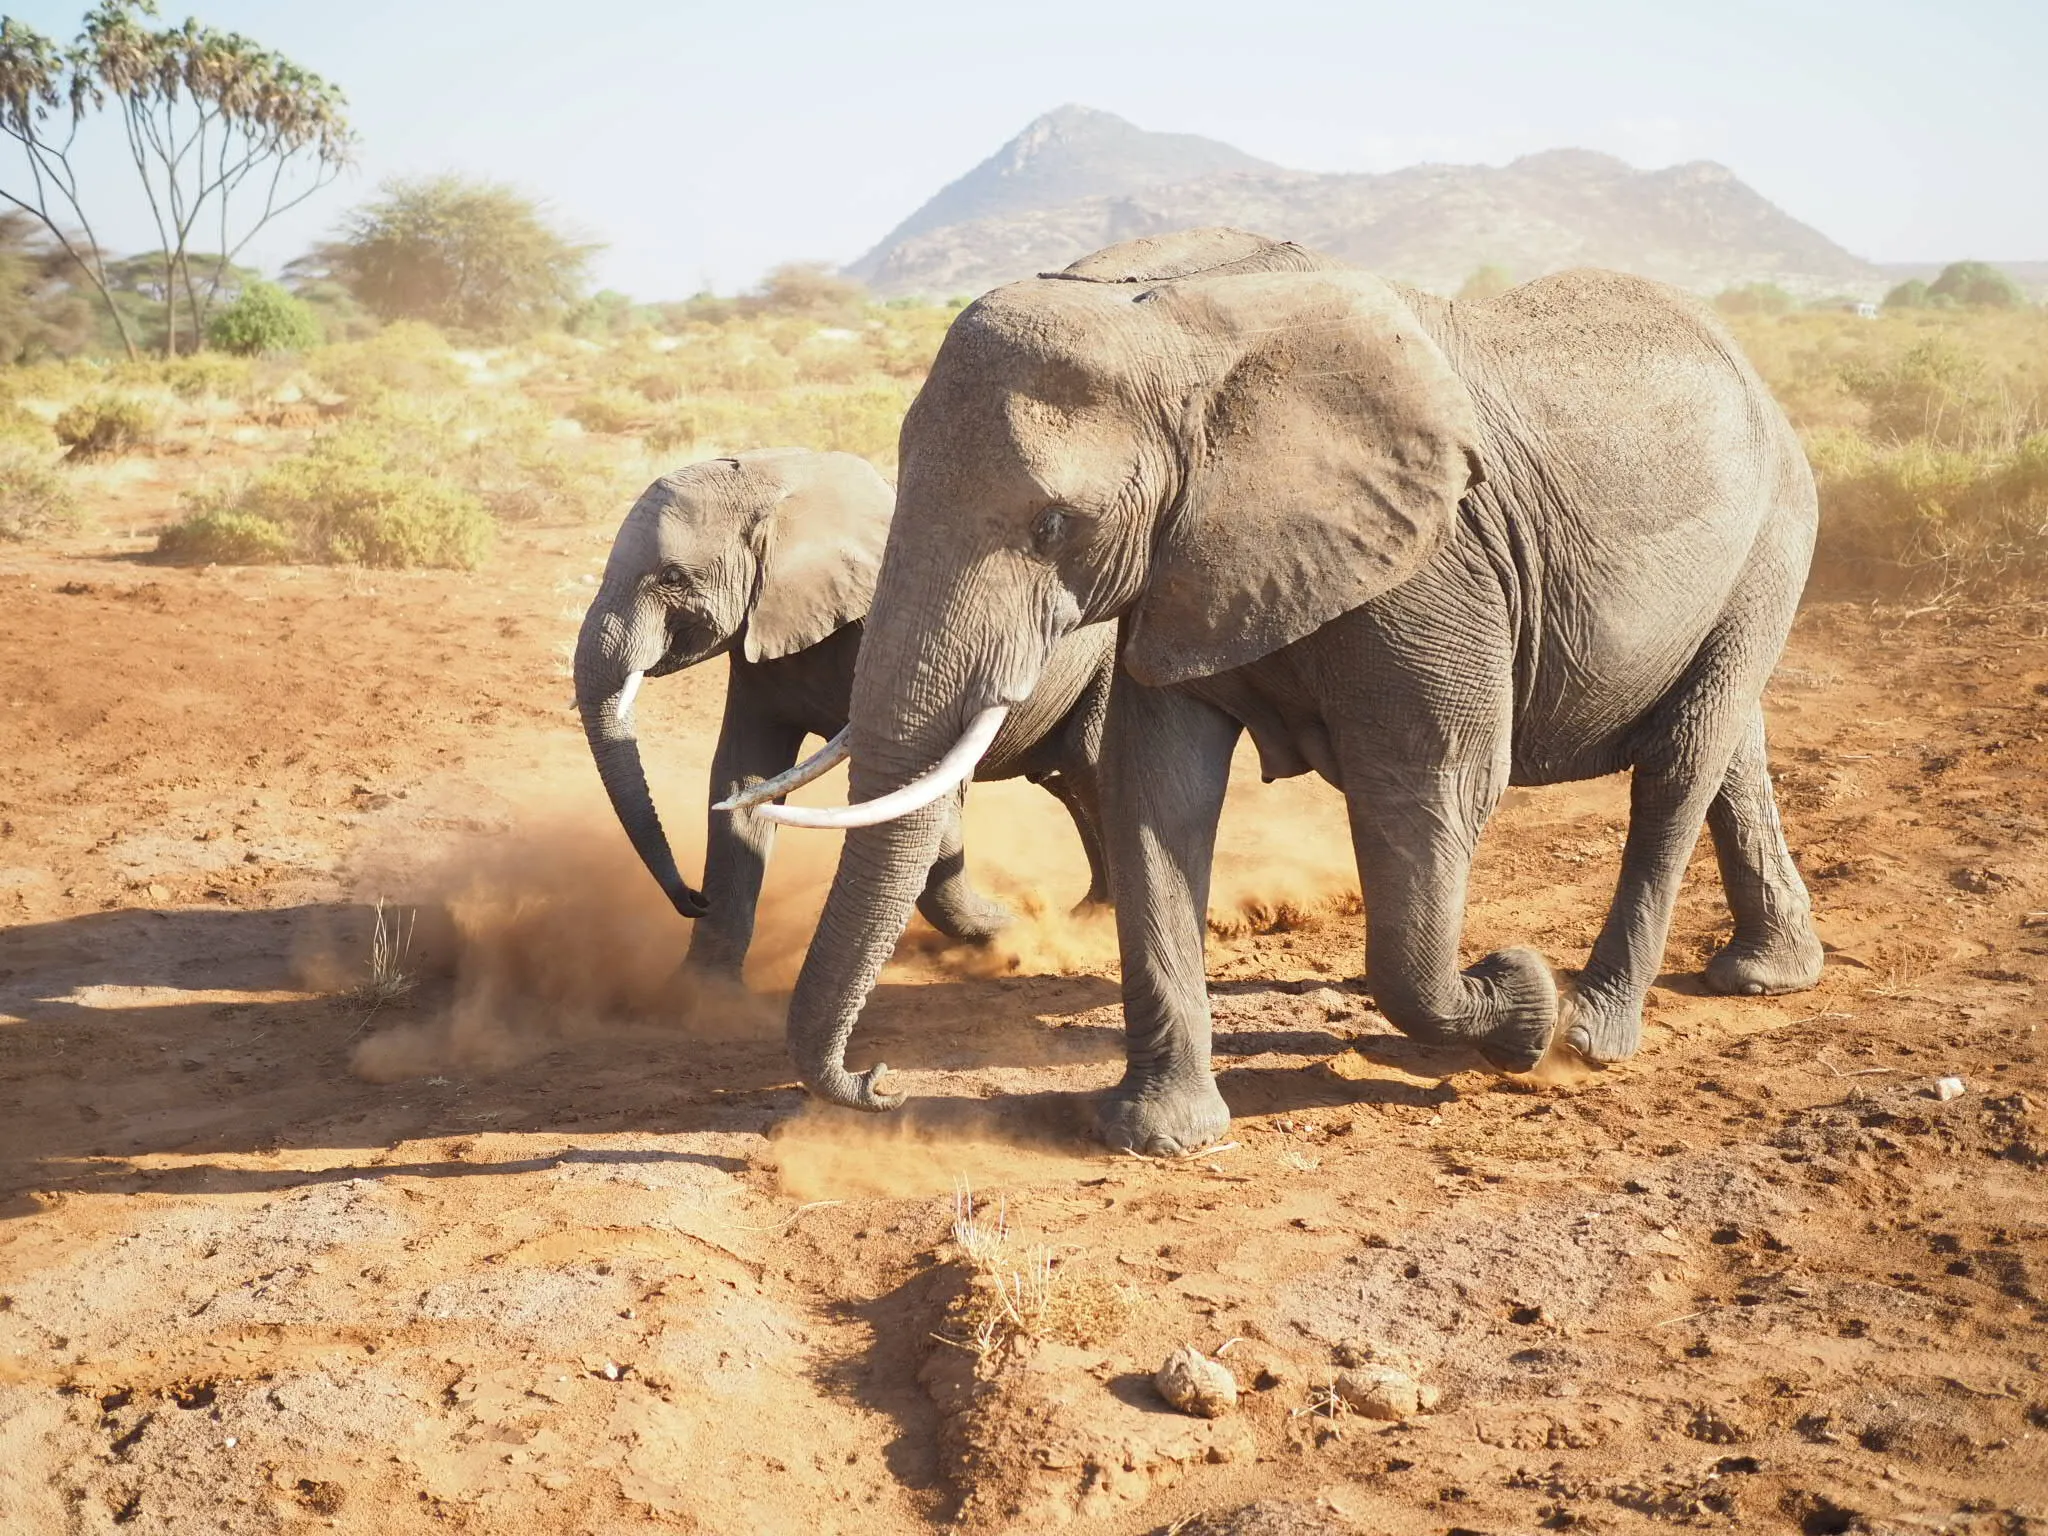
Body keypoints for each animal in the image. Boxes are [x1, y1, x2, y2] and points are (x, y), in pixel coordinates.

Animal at [574, 447, 1115, 980]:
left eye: (672, 578)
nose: (692, 898)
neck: (783, 486)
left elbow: (919, 786)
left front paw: (1020, 937)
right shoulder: (760, 648)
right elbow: (741, 778)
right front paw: (702, 993)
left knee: (1090, 766)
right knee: (1070, 782)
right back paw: (1088, 918)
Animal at [754, 228, 1826, 1152]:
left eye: (1055, 525)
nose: (879, 1081)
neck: (1180, 334)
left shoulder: (1437, 570)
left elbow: (1433, 785)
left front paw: (1521, 1004)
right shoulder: (1180, 561)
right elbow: (1158, 790)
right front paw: (1159, 1137)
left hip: (1777, 533)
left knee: (1678, 769)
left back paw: (1592, 1034)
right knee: (1729, 750)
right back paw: (1762, 978)